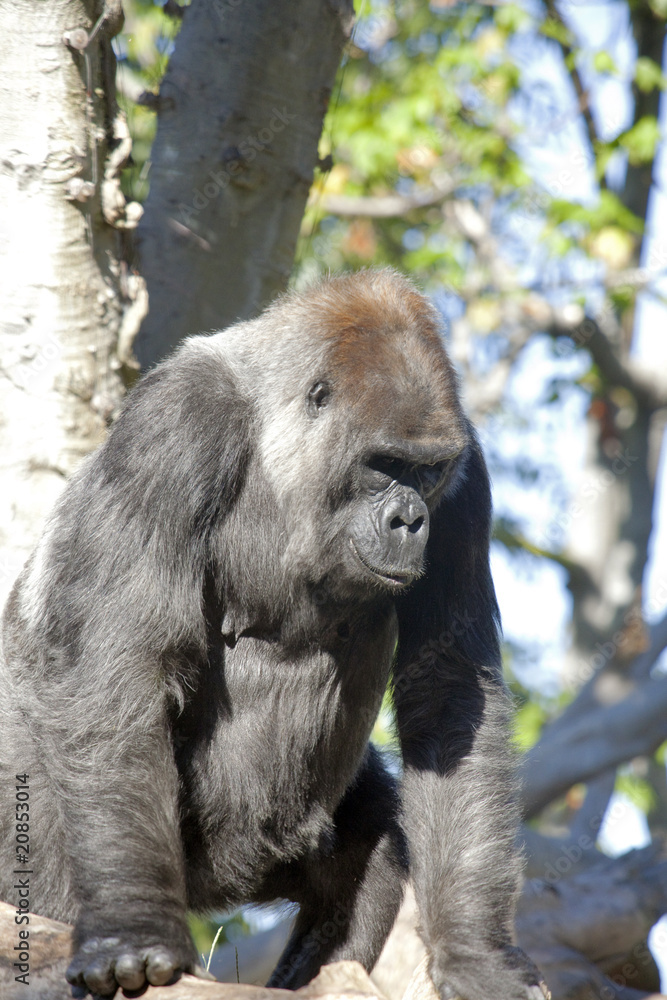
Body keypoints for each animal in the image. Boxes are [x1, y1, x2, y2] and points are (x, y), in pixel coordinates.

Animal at [0, 269, 544, 1000]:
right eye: (384, 464)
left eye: (427, 472)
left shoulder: (466, 477)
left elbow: (448, 686)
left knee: (373, 844)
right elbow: (121, 663)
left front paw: (474, 953)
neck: (279, 442)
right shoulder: (174, 424)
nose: (410, 521)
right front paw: (132, 928)